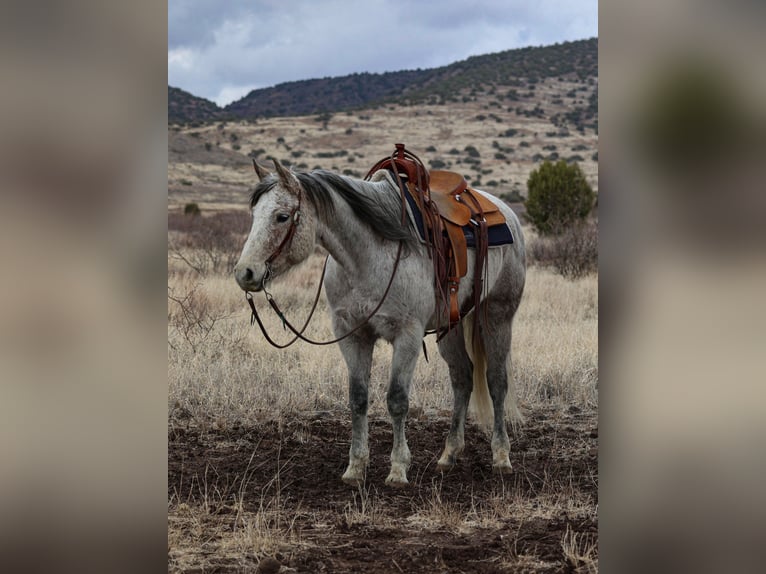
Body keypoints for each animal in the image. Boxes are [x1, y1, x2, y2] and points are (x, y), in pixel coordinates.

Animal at [236, 159, 528, 486]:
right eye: (254, 215)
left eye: (282, 216)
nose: (245, 272)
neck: (367, 256)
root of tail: (505, 212)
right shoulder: (352, 335)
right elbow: (358, 398)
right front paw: (355, 467)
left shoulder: (407, 336)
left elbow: (397, 400)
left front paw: (398, 469)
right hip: (450, 325)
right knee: (462, 378)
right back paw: (448, 454)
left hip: (497, 316)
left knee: (497, 381)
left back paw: (501, 456)